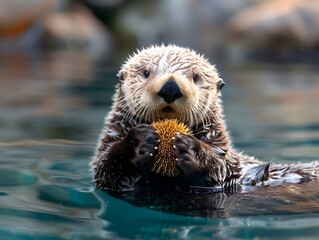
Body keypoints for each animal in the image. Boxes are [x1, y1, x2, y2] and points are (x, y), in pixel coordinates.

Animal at [91, 44, 318, 192]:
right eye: (146, 73)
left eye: (196, 77)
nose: (170, 88)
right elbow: (106, 170)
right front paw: (139, 142)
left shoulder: (227, 167)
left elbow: (221, 168)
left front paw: (191, 149)